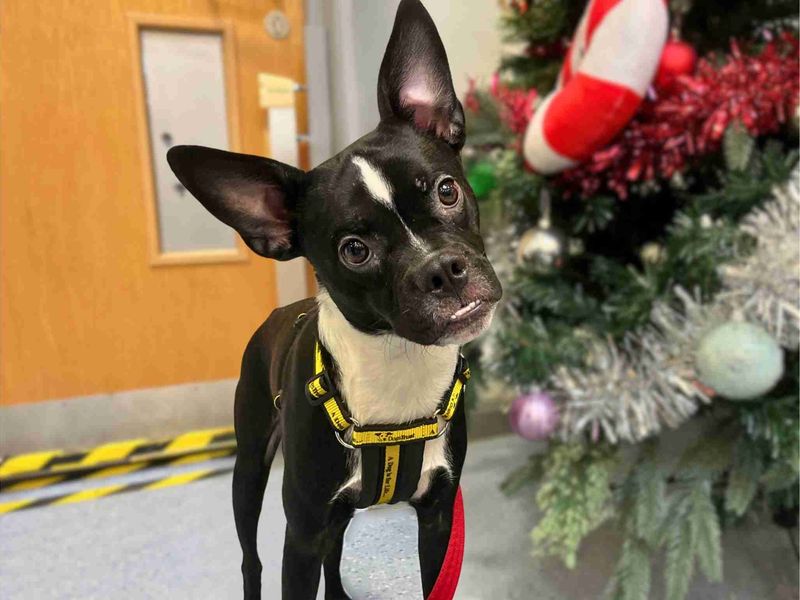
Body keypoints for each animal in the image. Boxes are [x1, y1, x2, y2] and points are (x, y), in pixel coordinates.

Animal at [167, 1, 501, 597]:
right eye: (354, 251)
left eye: (447, 190)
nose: (442, 269)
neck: (398, 369)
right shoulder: (300, 534)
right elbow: (293, 559)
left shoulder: (438, 519)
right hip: (249, 470)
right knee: (251, 557)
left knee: (336, 550)